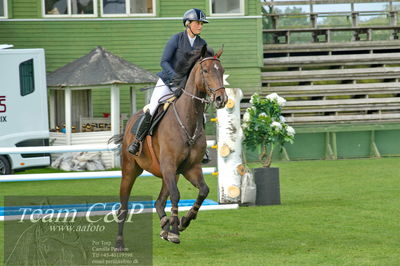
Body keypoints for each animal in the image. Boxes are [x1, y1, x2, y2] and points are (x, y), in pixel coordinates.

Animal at [112, 44, 227, 246]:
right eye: (205, 71)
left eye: (221, 71)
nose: (222, 99)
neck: (187, 121)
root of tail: (131, 122)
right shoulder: (169, 165)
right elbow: (176, 195)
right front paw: (175, 230)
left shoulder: (190, 168)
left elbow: (203, 191)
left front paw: (183, 221)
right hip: (130, 171)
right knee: (123, 207)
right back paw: (120, 242)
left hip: (170, 173)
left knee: (159, 202)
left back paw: (165, 226)